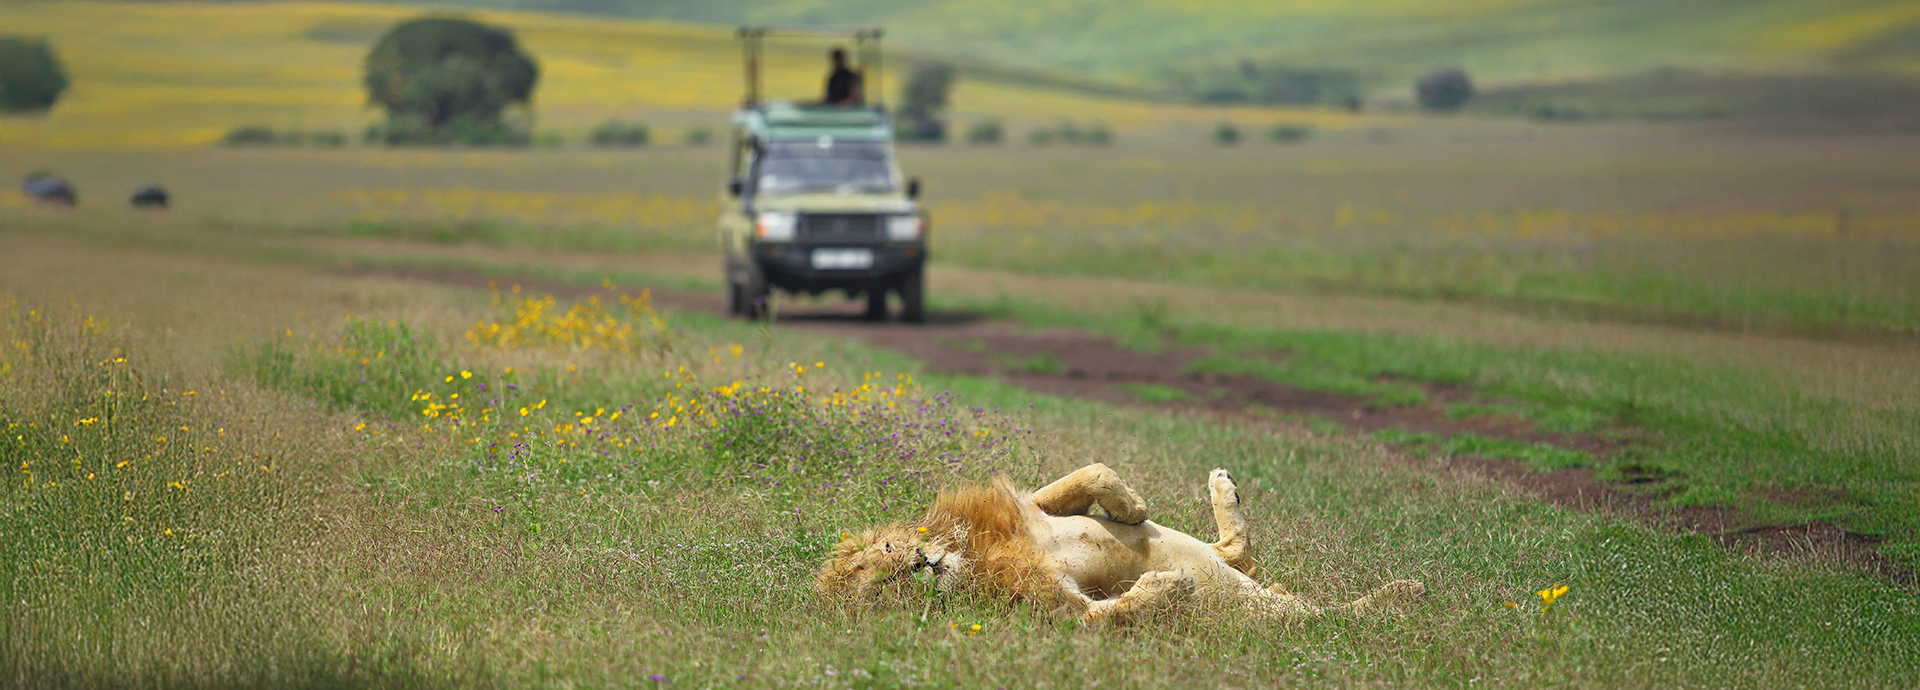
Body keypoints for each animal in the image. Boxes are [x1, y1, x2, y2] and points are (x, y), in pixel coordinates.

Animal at [818, 464, 1425, 624]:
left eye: (888, 559)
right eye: (883, 592)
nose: (922, 565)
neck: (971, 556)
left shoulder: (1032, 508)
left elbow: (1090, 475)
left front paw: (1130, 507)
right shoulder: (1060, 610)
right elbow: (1110, 612)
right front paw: (1167, 586)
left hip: (1237, 568)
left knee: (1236, 551)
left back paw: (1222, 485)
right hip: (1271, 613)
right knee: (1327, 615)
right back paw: (1405, 592)